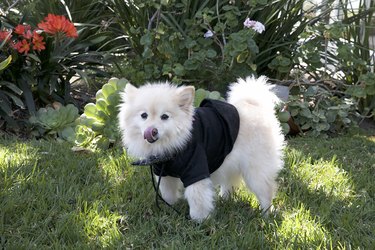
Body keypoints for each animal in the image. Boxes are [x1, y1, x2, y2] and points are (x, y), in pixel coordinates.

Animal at [117, 75, 284, 222]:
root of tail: (256, 106)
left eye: (165, 117)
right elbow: (167, 193)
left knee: (266, 191)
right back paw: (225, 198)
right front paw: (168, 209)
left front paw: (199, 221)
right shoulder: (164, 172)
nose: (152, 130)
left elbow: (197, 199)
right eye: (143, 115)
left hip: (255, 169)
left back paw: (266, 215)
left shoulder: (195, 170)